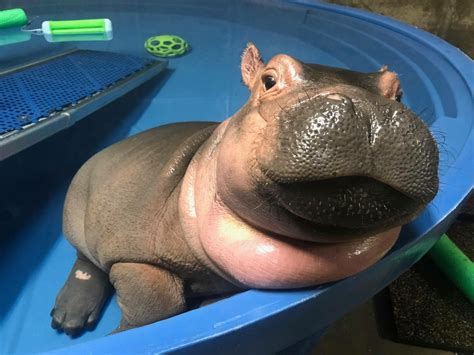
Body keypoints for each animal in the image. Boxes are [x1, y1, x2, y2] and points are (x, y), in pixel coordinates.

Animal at [50, 43, 438, 336]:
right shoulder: (136, 257)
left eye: (399, 91)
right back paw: (68, 320)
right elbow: (157, 307)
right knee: (86, 260)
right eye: (268, 80)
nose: (370, 110)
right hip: (76, 215)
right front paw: (123, 335)